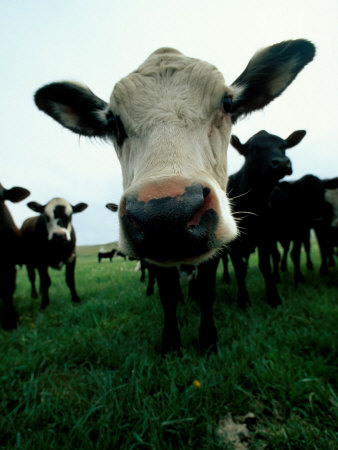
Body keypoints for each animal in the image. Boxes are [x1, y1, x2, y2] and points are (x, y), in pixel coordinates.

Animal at [33, 39, 314, 356]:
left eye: (227, 104)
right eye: (113, 122)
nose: (166, 215)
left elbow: (207, 289)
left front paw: (208, 339)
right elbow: (167, 294)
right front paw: (170, 342)